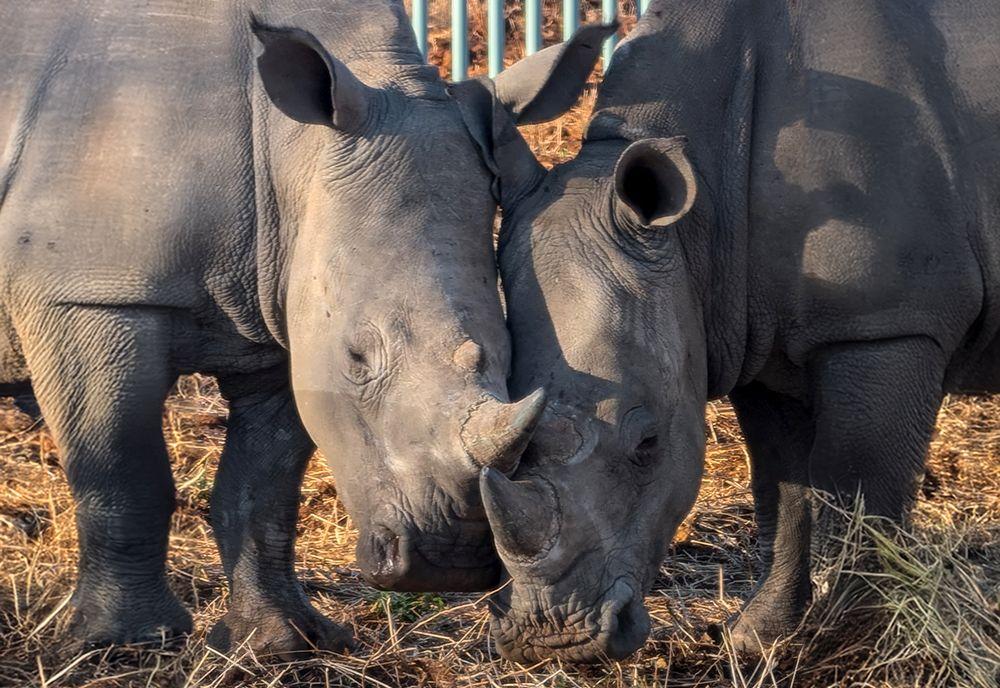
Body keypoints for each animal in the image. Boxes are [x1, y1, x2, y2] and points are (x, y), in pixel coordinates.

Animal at [0, 0, 612, 656]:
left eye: (508, 356)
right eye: (358, 359)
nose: (450, 560)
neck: (287, 150)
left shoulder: (283, 318)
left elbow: (263, 490)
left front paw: (281, 643)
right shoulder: (92, 294)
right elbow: (122, 472)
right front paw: (126, 643)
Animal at [480, 0, 996, 664]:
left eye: (648, 444)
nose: (555, 639)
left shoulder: (884, 323)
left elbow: (860, 485)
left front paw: (849, 646)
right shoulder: (754, 334)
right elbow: (783, 489)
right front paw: (758, 637)